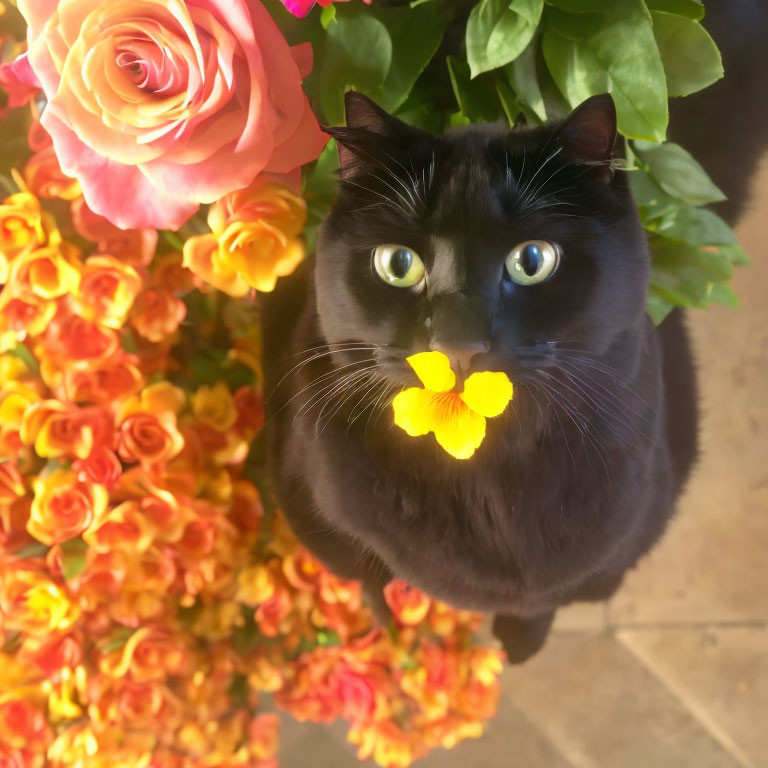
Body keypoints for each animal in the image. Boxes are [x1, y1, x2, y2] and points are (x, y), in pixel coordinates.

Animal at [262, 93, 696, 664]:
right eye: (398, 263)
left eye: (532, 260)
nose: (458, 344)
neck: (484, 475)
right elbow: (370, 580)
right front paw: (391, 633)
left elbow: (545, 595)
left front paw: (522, 643)